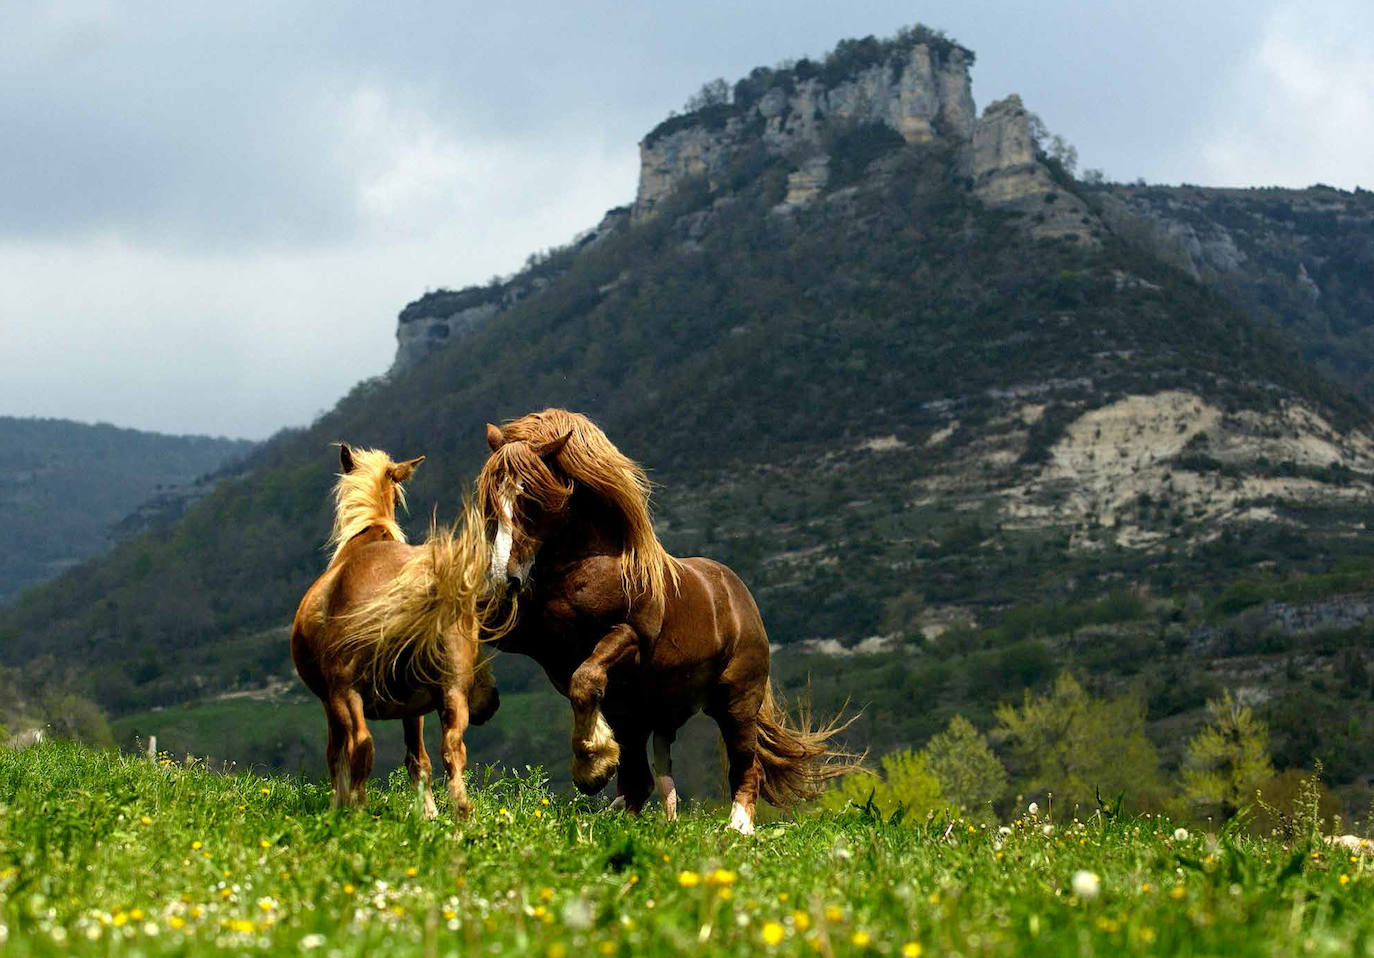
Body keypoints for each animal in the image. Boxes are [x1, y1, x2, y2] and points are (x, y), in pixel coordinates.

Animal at [289, 445, 500, 819]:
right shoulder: (414, 707)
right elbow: (419, 759)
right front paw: (428, 813)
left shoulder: (330, 701)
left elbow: (336, 756)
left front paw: (337, 805)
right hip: (452, 691)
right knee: (452, 747)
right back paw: (462, 812)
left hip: (345, 693)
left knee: (361, 746)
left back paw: (357, 809)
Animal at [475, 406, 857, 835]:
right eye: (490, 499)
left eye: (531, 498)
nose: (503, 578)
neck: (584, 568)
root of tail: (741, 598)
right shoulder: (528, 640)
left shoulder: (628, 638)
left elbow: (584, 681)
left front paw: (591, 767)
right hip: (638, 713)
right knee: (640, 782)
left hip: (735, 702)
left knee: (745, 767)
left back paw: (737, 827)